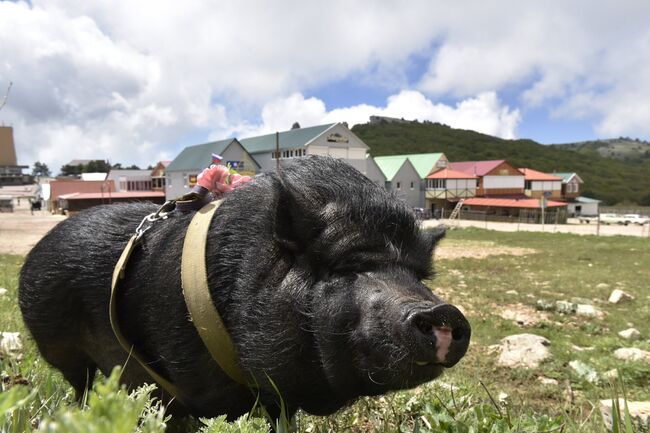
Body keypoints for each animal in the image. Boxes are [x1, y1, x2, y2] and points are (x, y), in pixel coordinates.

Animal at [17, 156, 468, 418]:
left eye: (418, 274)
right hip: (61, 350)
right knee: (80, 383)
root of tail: (33, 255)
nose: (443, 312)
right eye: (345, 266)